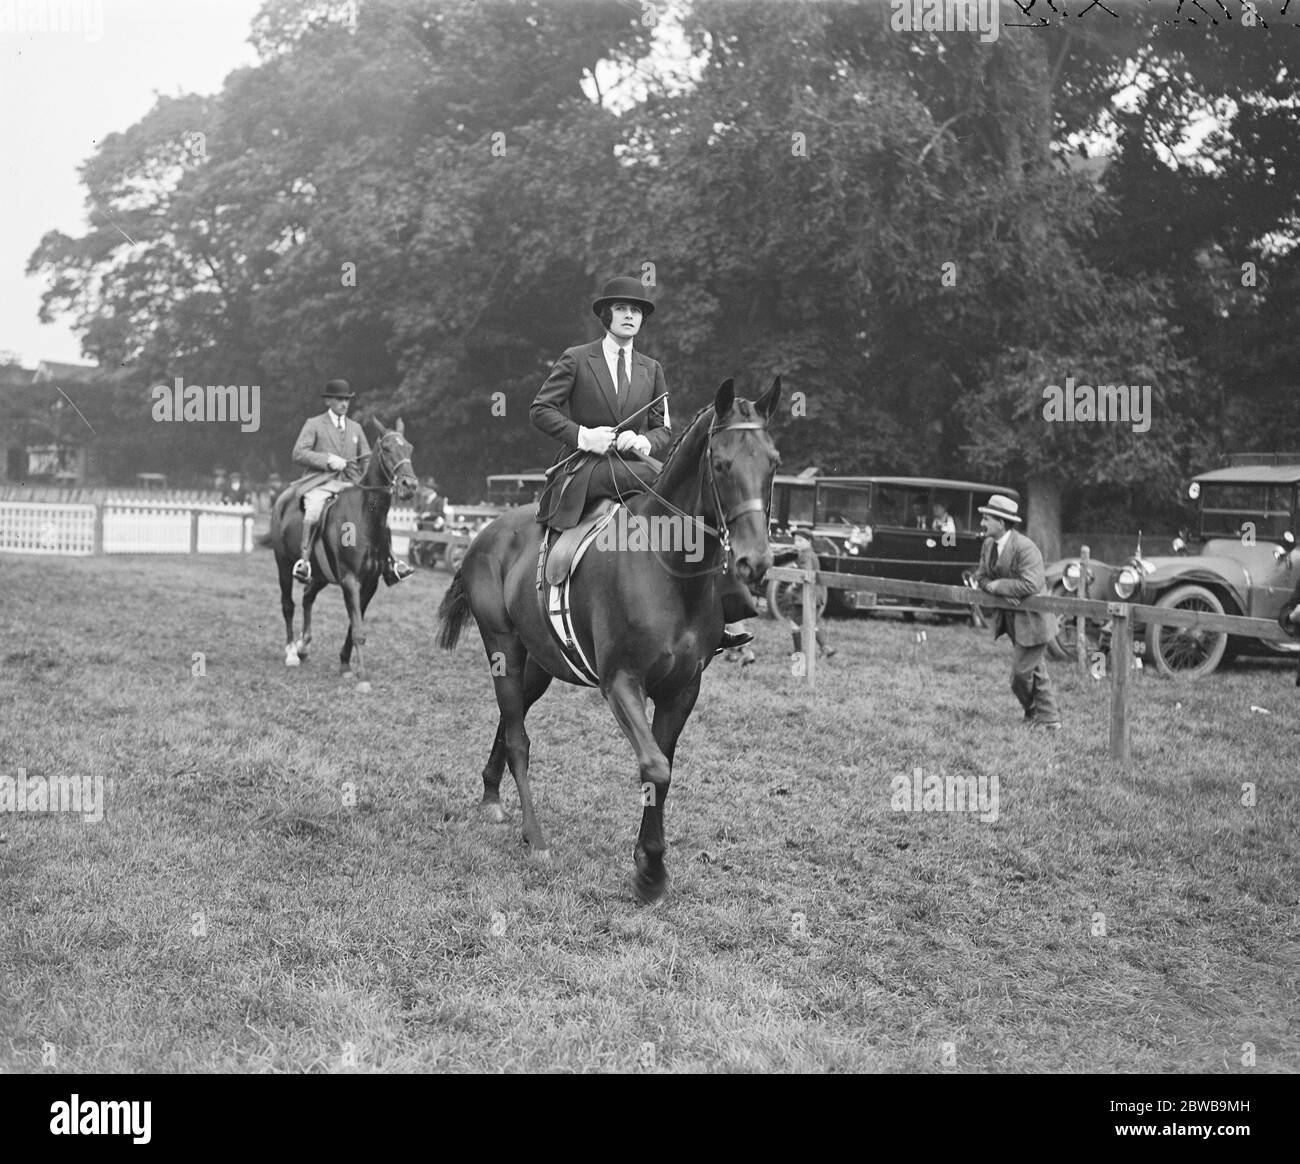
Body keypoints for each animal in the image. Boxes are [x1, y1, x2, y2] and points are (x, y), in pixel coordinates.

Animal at [271, 418, 418, 691]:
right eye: (387, 448)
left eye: (409, 448)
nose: (409, 486)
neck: (365, 516)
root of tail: (282, 499)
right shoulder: (350, 580)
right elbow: (358, 628)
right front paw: (363, 678)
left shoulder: (369, 584)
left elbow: (353, 624)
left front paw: (345, 665)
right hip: (283, 565)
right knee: (288, 604)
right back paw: (292, 652)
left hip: (320, 574)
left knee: (307, 597)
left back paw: (304, 646)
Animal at [436, 377, 780, 905]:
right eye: (721, 464)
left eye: (773, 463)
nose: (754, 562)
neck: (667, 566)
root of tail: (485, 532)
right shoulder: (621, 682)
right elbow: (654, 766)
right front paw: (650, 870)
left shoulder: (683, 689)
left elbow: (663, 769)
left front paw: (646, 859)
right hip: (503, 649)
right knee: (518, 737)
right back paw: (535, 837)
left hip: (539, 664)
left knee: (509, 719)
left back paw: (492, 795)